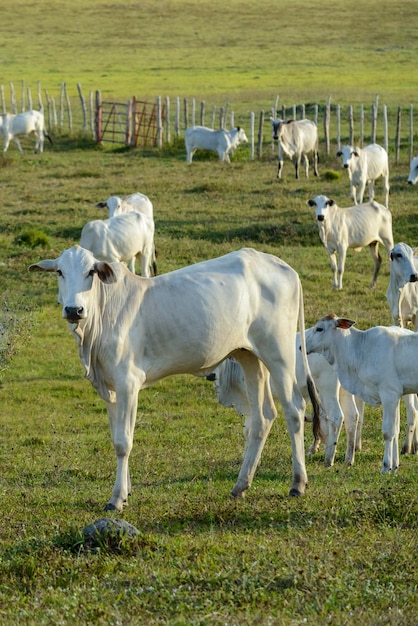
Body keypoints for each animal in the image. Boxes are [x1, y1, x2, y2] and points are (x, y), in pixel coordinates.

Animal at [29, 244, 322, 508]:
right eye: (60, 272)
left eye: (91, 271)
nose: (74, 310)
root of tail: (284, 267)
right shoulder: (109, 389)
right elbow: (116, 438)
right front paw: (126, 490)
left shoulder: (128, 383)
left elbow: (124, 442)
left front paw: (116, 498)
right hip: (249, 355)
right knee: (263, 417)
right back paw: (241, 485)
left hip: (278, 352)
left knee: (294, 410)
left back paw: (298, 483)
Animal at [304, 314, 418, 470]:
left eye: (319, 328)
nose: (301, 346)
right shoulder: (396, 396)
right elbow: (395, 429)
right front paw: (394, 466)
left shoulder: (389, 394)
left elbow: (388, 432)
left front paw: (386, 466)